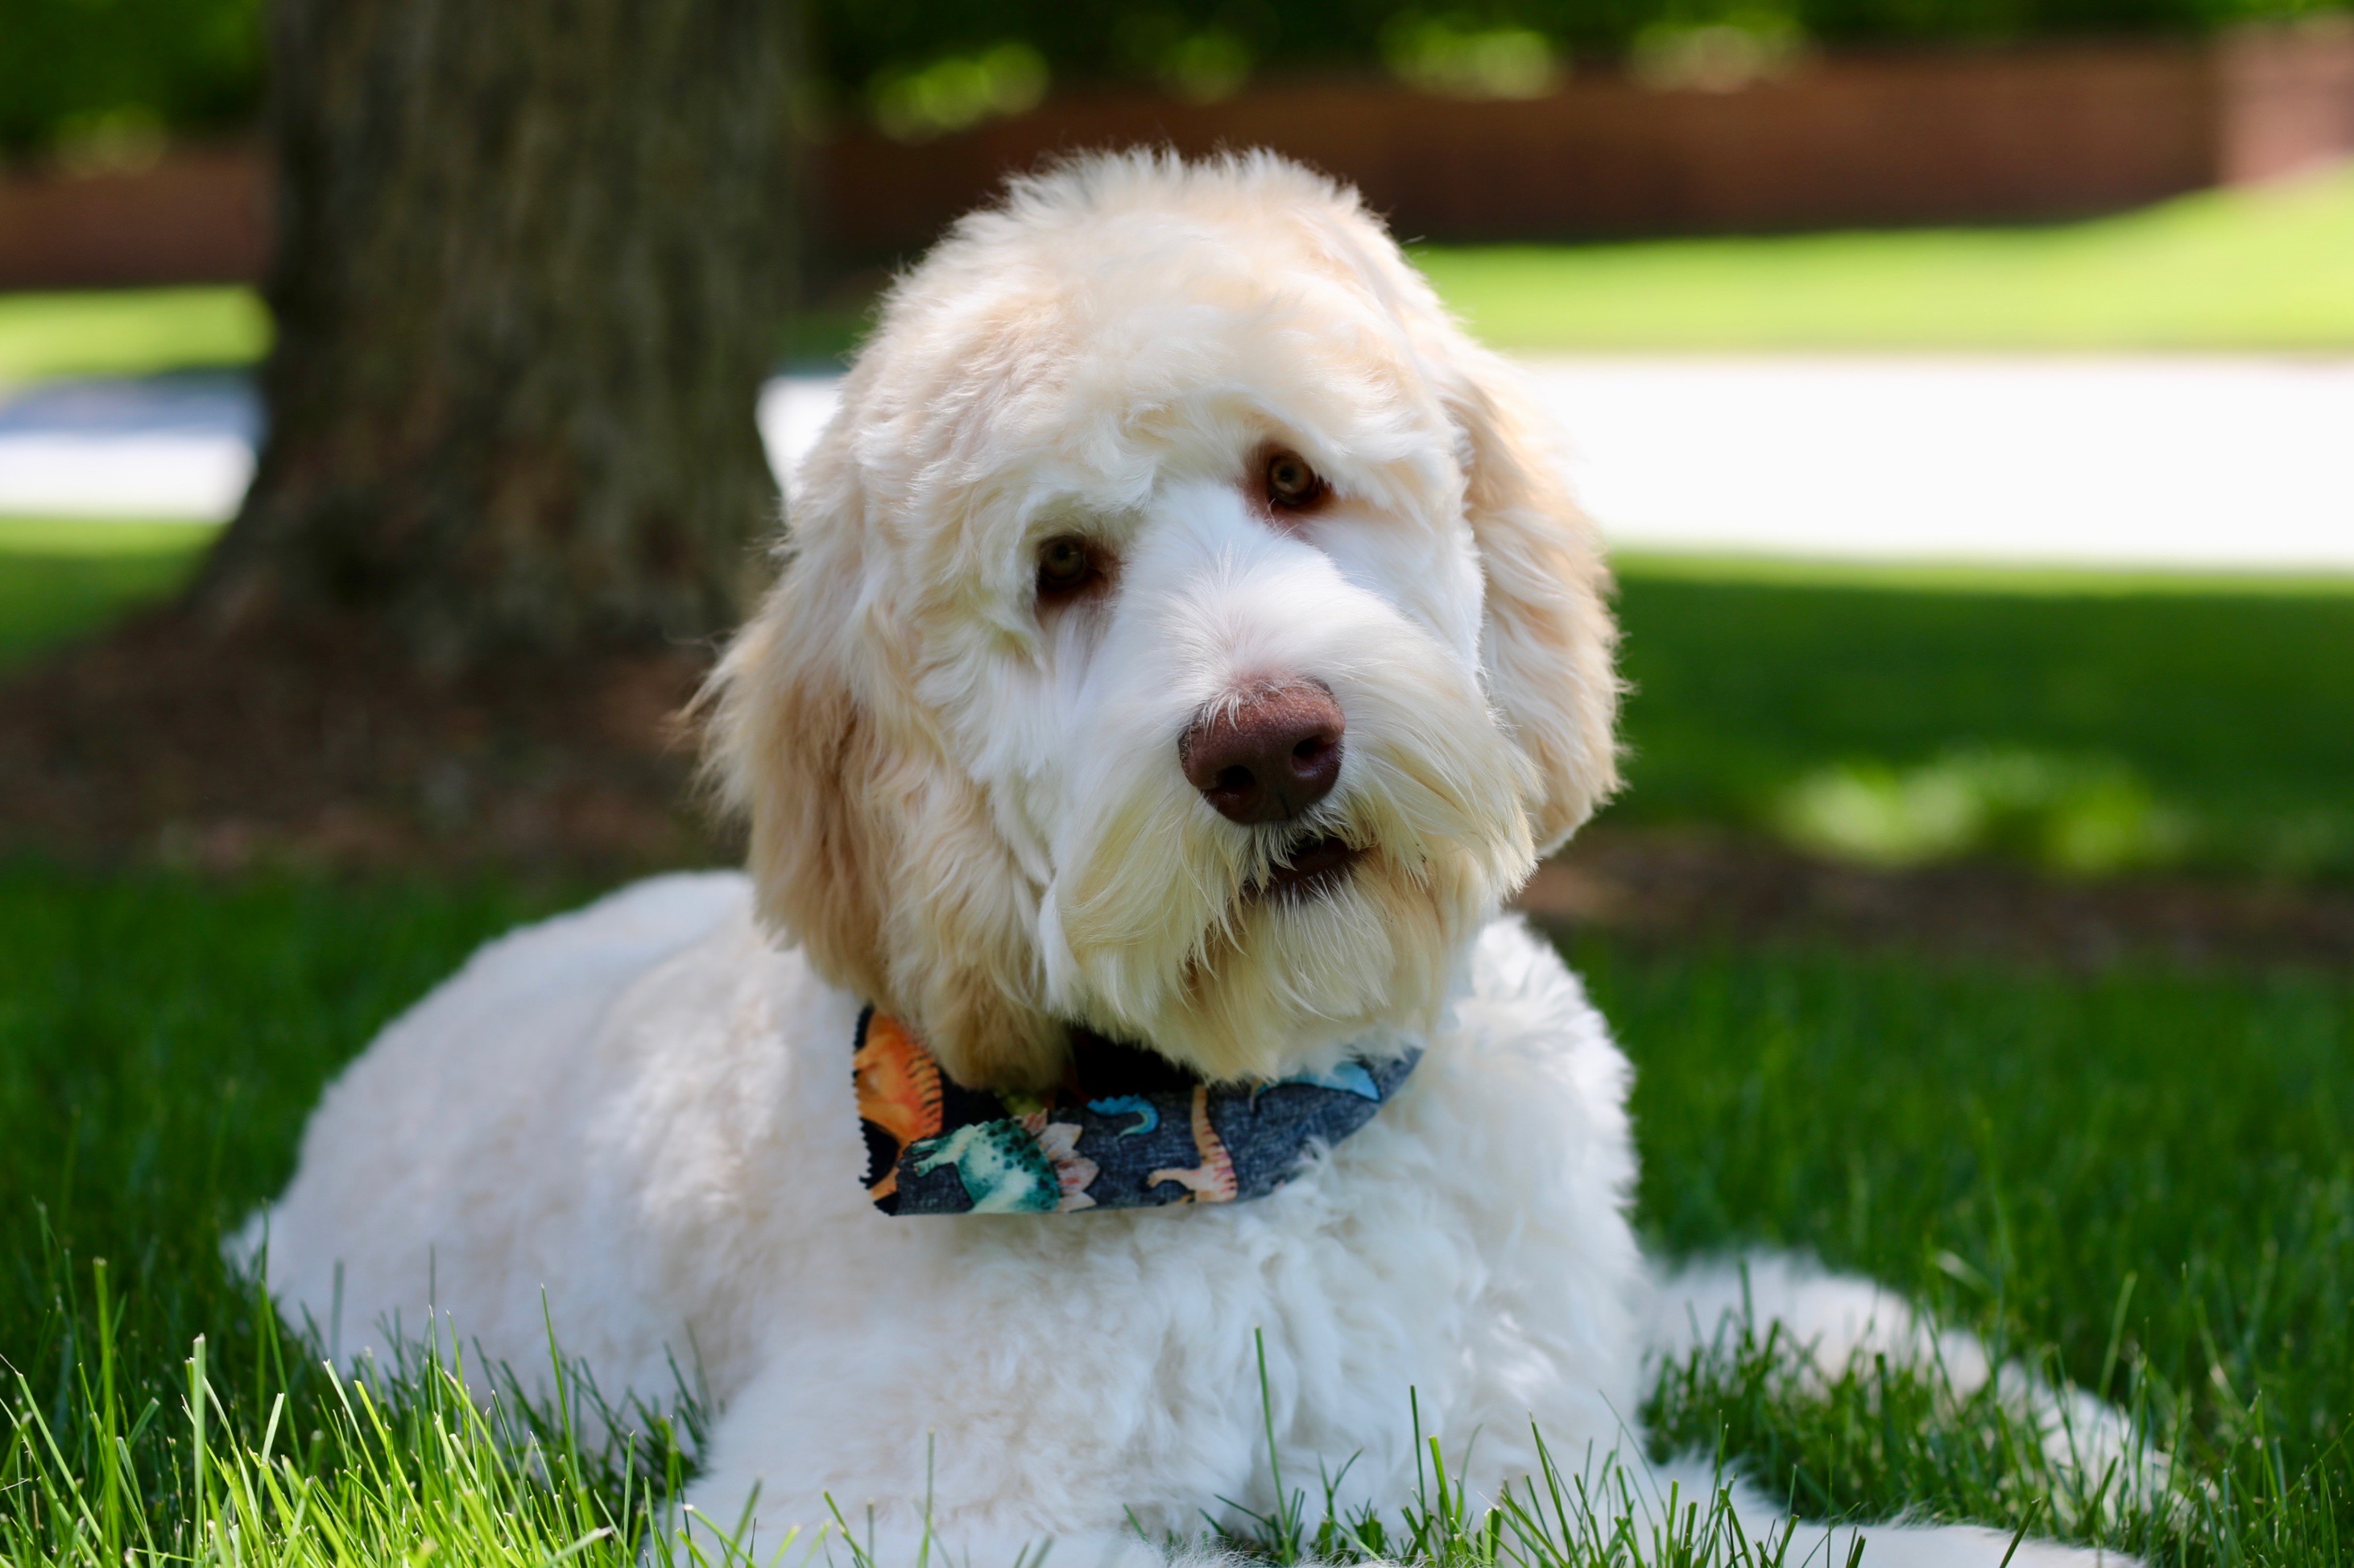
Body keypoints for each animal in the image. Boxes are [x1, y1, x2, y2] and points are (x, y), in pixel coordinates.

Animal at [248, 149, 2146, 1563]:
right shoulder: (873, 1506)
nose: (1267, 744)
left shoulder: (1534, 1414)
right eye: (1062, 567)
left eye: (1295, 477)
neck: (1262, 1132)